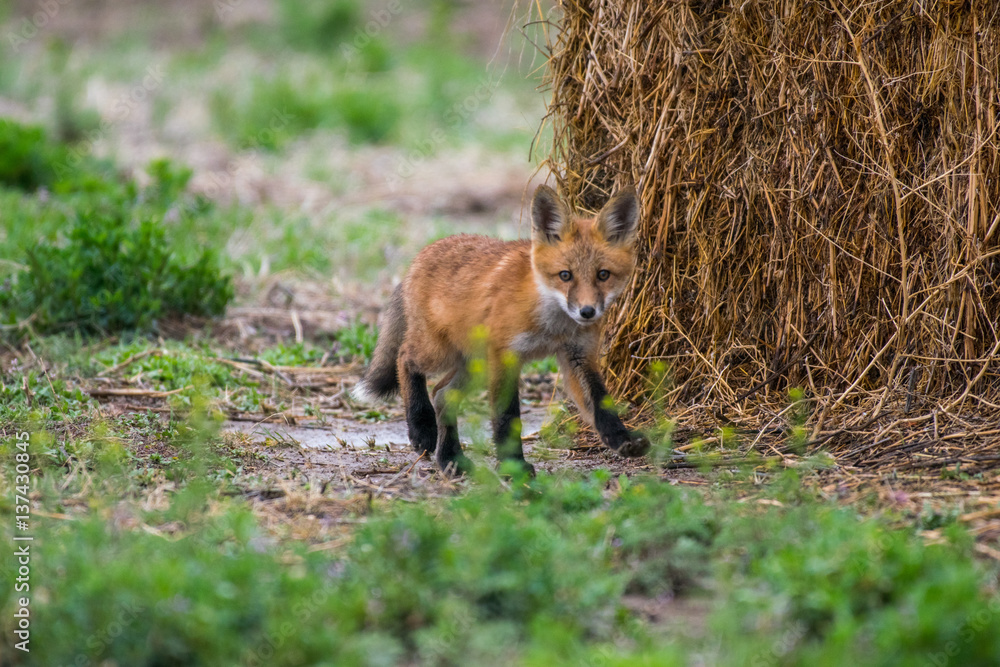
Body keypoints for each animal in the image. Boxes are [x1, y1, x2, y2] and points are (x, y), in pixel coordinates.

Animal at [352, 184, 650, 475]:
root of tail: (420, 256)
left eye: (603, 275)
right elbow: (507, 417)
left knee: (443, 395)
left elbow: (601, 402)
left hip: (475, 364)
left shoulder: (578, 355)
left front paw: (621, 439)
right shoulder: (506, 356)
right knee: (405, 359)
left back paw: (451, 459)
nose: (587, 312)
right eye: (565, 275)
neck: (551, 325)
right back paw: (422, 428)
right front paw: (514, 466)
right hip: (440, 352)